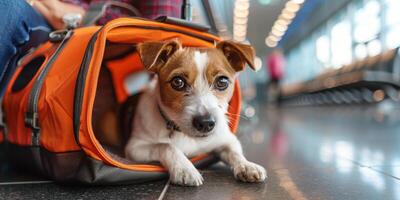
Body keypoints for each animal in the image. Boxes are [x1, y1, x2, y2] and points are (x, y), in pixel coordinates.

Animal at [126, 39, 268, 186]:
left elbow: (235, 152)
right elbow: (165, 146)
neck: (185, 134)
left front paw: (247, 165)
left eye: (222, 81)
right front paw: (184, 168)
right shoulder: (135, 147)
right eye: (178, 81)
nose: (205, 123)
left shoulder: (227, 139)